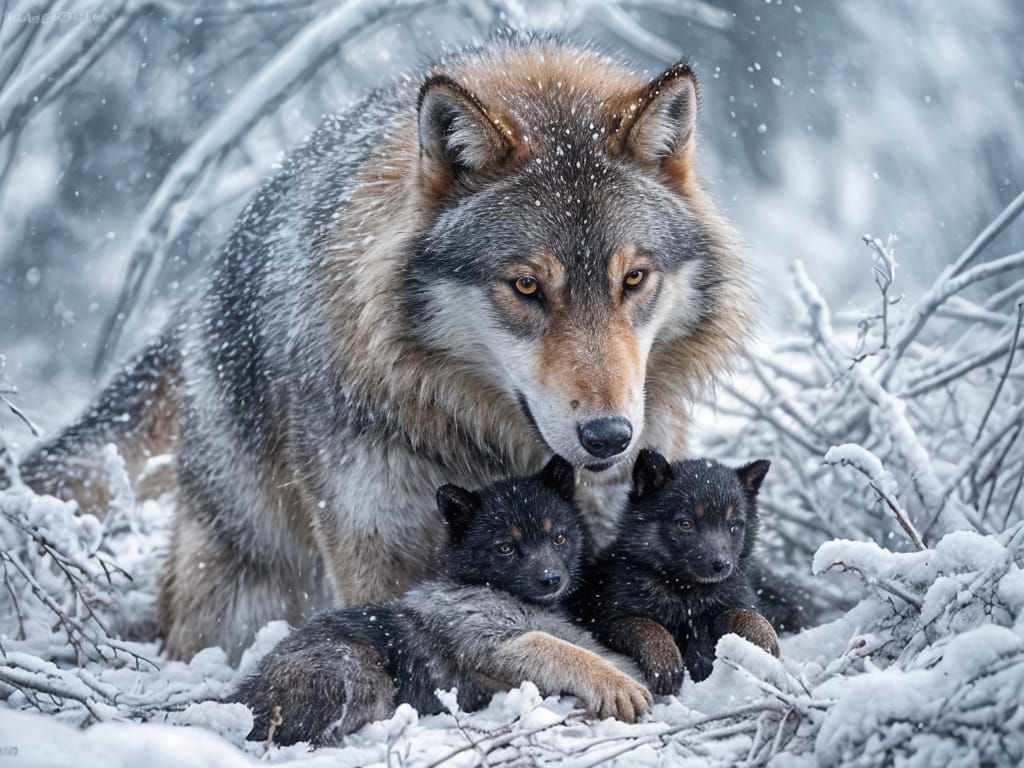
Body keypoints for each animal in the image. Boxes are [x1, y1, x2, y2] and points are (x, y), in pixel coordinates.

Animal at [19, 34, 751, 661]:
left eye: (633, 279)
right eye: (526, 285)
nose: (609, 437)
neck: (485, 443)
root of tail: (198, 294)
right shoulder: (378, 548)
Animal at [235, 457, 651, 746]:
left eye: (559, 537)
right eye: (505, 548)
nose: (551, 580)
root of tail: (241, 695)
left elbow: (591, 647)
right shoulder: (495, 645)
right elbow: (559, 649)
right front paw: (616, 685)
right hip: (359, 673)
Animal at [570, 450, 779, 692]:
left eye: (734, 526)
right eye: (686, 524)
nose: (721, 565)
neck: (687, 596)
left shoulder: (727, 607)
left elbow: (744, 614)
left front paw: (764, 641)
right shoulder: (608, 619)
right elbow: (645, 625)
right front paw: (664, 659)